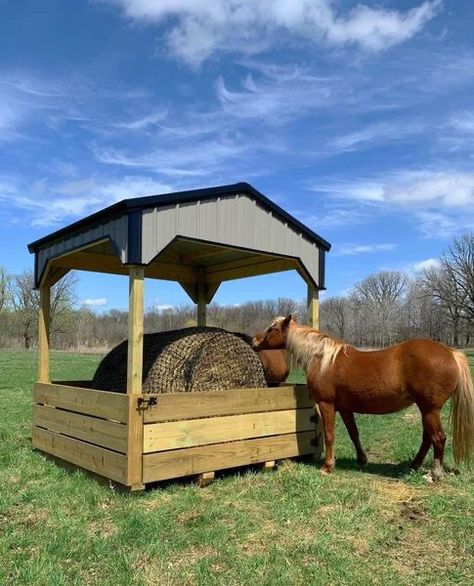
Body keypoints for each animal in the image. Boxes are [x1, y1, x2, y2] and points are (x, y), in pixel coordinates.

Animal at [252, 314, 474, 474]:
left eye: (271, 329)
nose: (253, 340)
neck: (323, 359)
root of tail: (451, 353)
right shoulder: (345, 409)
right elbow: (354, 434)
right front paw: (361, 460)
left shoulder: (327, 405)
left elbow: (330, 435)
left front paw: (327, 467)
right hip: (426, 410)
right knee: (428, 437)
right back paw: (414, 465)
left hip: (430, 409)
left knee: (438, 437)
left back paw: (435, 473)